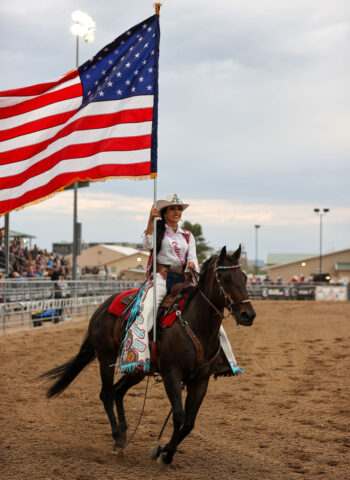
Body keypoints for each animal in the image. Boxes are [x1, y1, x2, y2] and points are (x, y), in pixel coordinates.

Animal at [41, 246, 256, 464]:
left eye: (245, 277)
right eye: (226, 278)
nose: (248, 314)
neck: (195, 324)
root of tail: (101, 307)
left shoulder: (200, 381)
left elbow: (189, 423)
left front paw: (167, 452)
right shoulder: (171, 374)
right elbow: (179, 416)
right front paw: (163, 452)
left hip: (138, 369)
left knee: (118, 391)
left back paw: (124, 435)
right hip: (106, 358)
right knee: (107, 394)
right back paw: (117, 439)